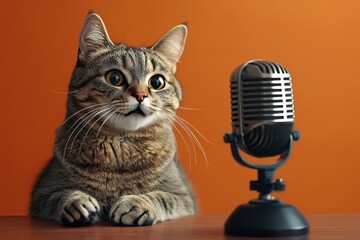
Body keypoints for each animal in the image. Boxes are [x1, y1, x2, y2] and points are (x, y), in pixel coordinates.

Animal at [29, 12, 195, 227]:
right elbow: (59, 195)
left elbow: (161, 197)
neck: (121, 146)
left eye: (157, 82)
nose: (141, 95)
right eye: (114, 78)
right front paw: (76, 202)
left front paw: (137, 203)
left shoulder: (183, 196)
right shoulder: (42, 192)